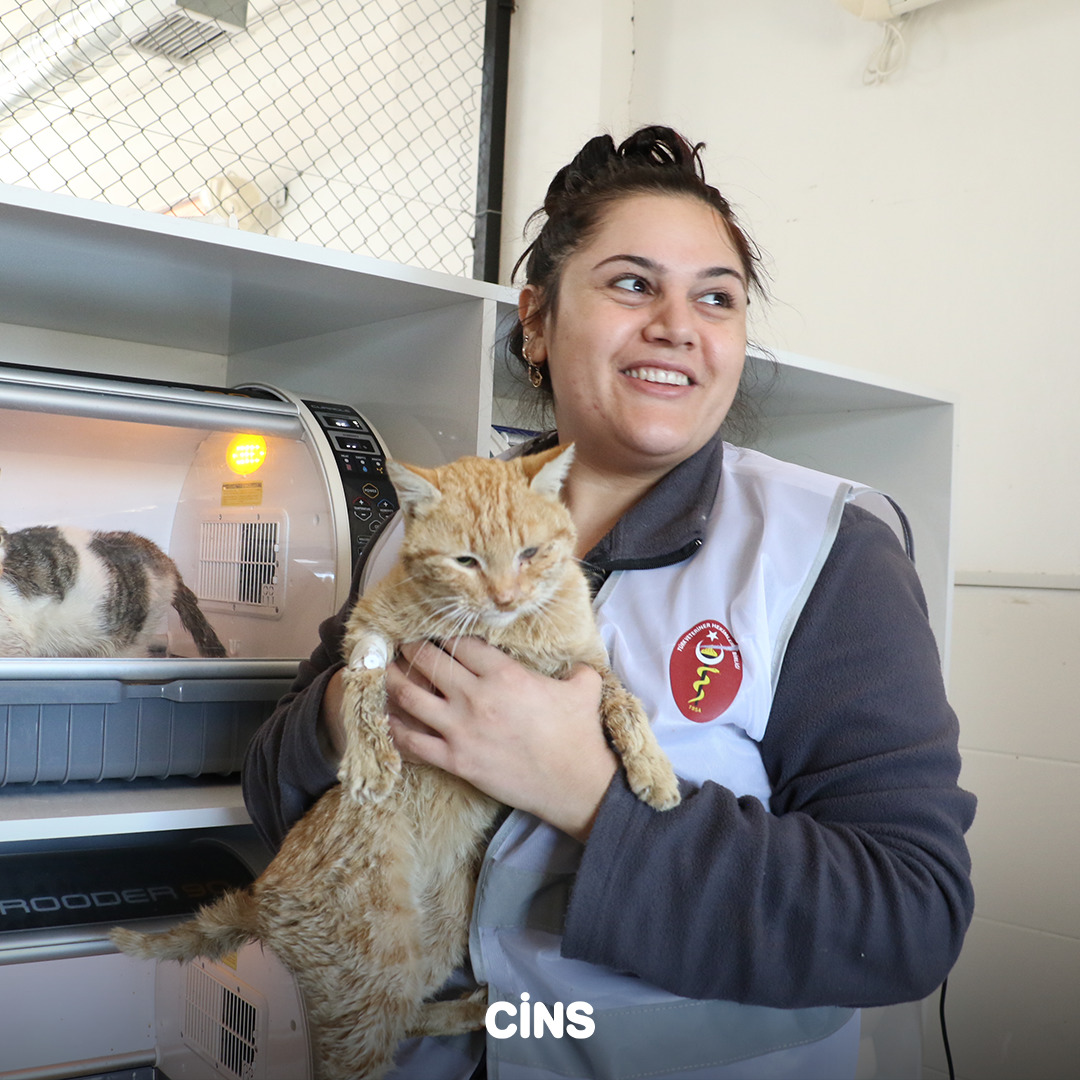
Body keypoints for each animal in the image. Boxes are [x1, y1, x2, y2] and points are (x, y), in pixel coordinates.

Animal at [111, 444, 682, 1080]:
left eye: (531, 553)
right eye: (466, 560)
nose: (505, 598)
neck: (505, 631)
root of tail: (258, 898)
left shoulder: (585, 664)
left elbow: (622, 698)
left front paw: (654, 772)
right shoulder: (371, 622)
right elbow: (364, 677)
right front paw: (369, 761)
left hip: (442, 930)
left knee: (408, 1015)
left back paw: (478, 1009)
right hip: (373, 965)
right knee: (368, 1046)